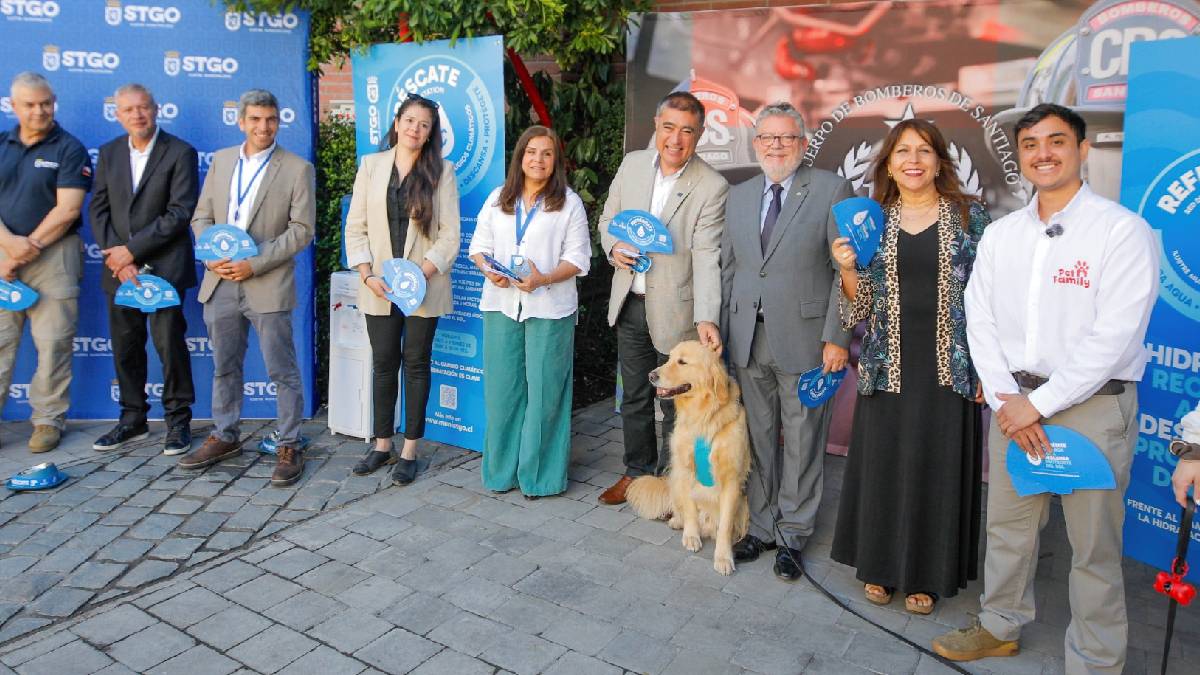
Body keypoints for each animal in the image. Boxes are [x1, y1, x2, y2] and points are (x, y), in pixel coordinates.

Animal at [625, 340, 751, 575]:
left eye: (682, 362)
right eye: (669, 358)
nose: (651, 375)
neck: (702, 416)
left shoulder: (731, 480)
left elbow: (726, 525)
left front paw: (723, 557)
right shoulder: (684, 469)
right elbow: (691, 508)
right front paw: (691, 537)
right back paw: (677, 520)